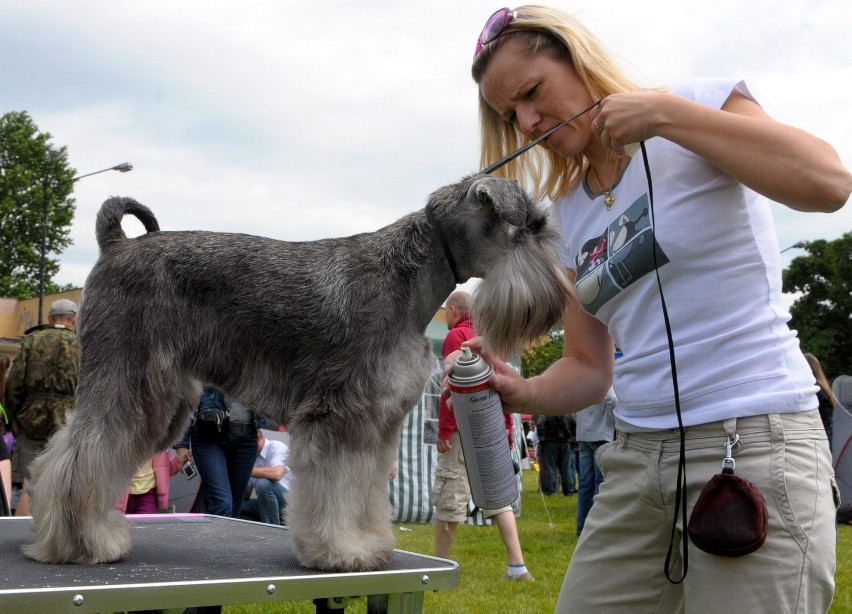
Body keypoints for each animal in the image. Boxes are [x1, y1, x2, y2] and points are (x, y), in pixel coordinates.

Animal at [25, 172, 572, 572]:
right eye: (532, 228)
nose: (563, 300)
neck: (411, 274)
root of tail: (115, 245)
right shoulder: (339, 416)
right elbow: (336, 489)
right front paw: (340, 551)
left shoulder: (377, 425)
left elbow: (366, 492)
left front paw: (370, 543)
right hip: (130, 384)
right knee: (80, 456)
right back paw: (79, 544)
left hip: (162, 403)